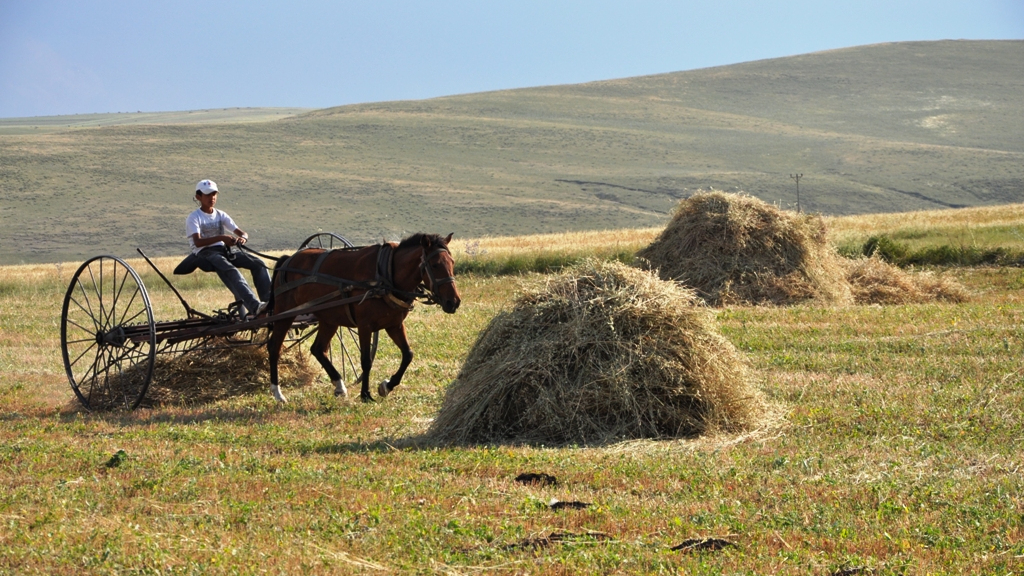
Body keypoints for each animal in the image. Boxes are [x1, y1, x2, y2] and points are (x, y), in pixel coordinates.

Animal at [266, 232, 461, 403]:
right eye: (435, 265)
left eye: (452, 262)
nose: (454, 302)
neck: (386, 274)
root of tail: (287, 260)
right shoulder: (365, 326)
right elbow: (366, 360)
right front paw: (365, 394)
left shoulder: (394, 324)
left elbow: (408, 355)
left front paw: (387, 386)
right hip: (285, 314)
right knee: (274, 347)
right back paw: (277, 393)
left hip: (329, 319)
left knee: (318, 349)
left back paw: (339, 385)